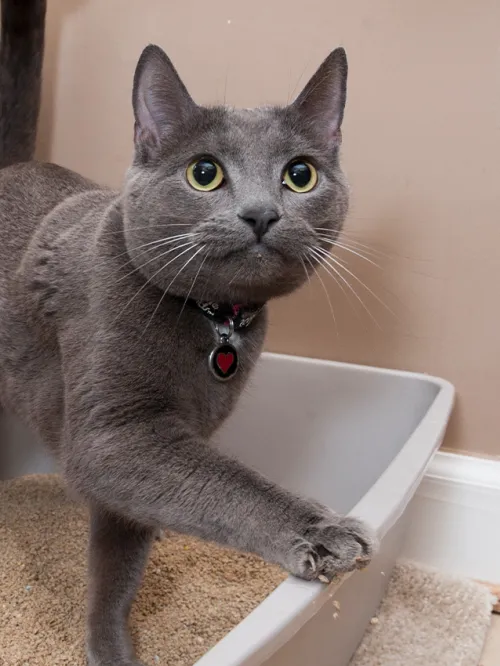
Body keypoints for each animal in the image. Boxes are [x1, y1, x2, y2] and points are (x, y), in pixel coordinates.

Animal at [0, 1, 376, 664]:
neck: (214, 322)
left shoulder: (155, 444)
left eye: (300, 175)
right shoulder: (114, 433)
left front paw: (110, 644)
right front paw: (326, 532)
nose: (261, 212)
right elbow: (229, 486)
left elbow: (119, 558)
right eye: (205, 173)